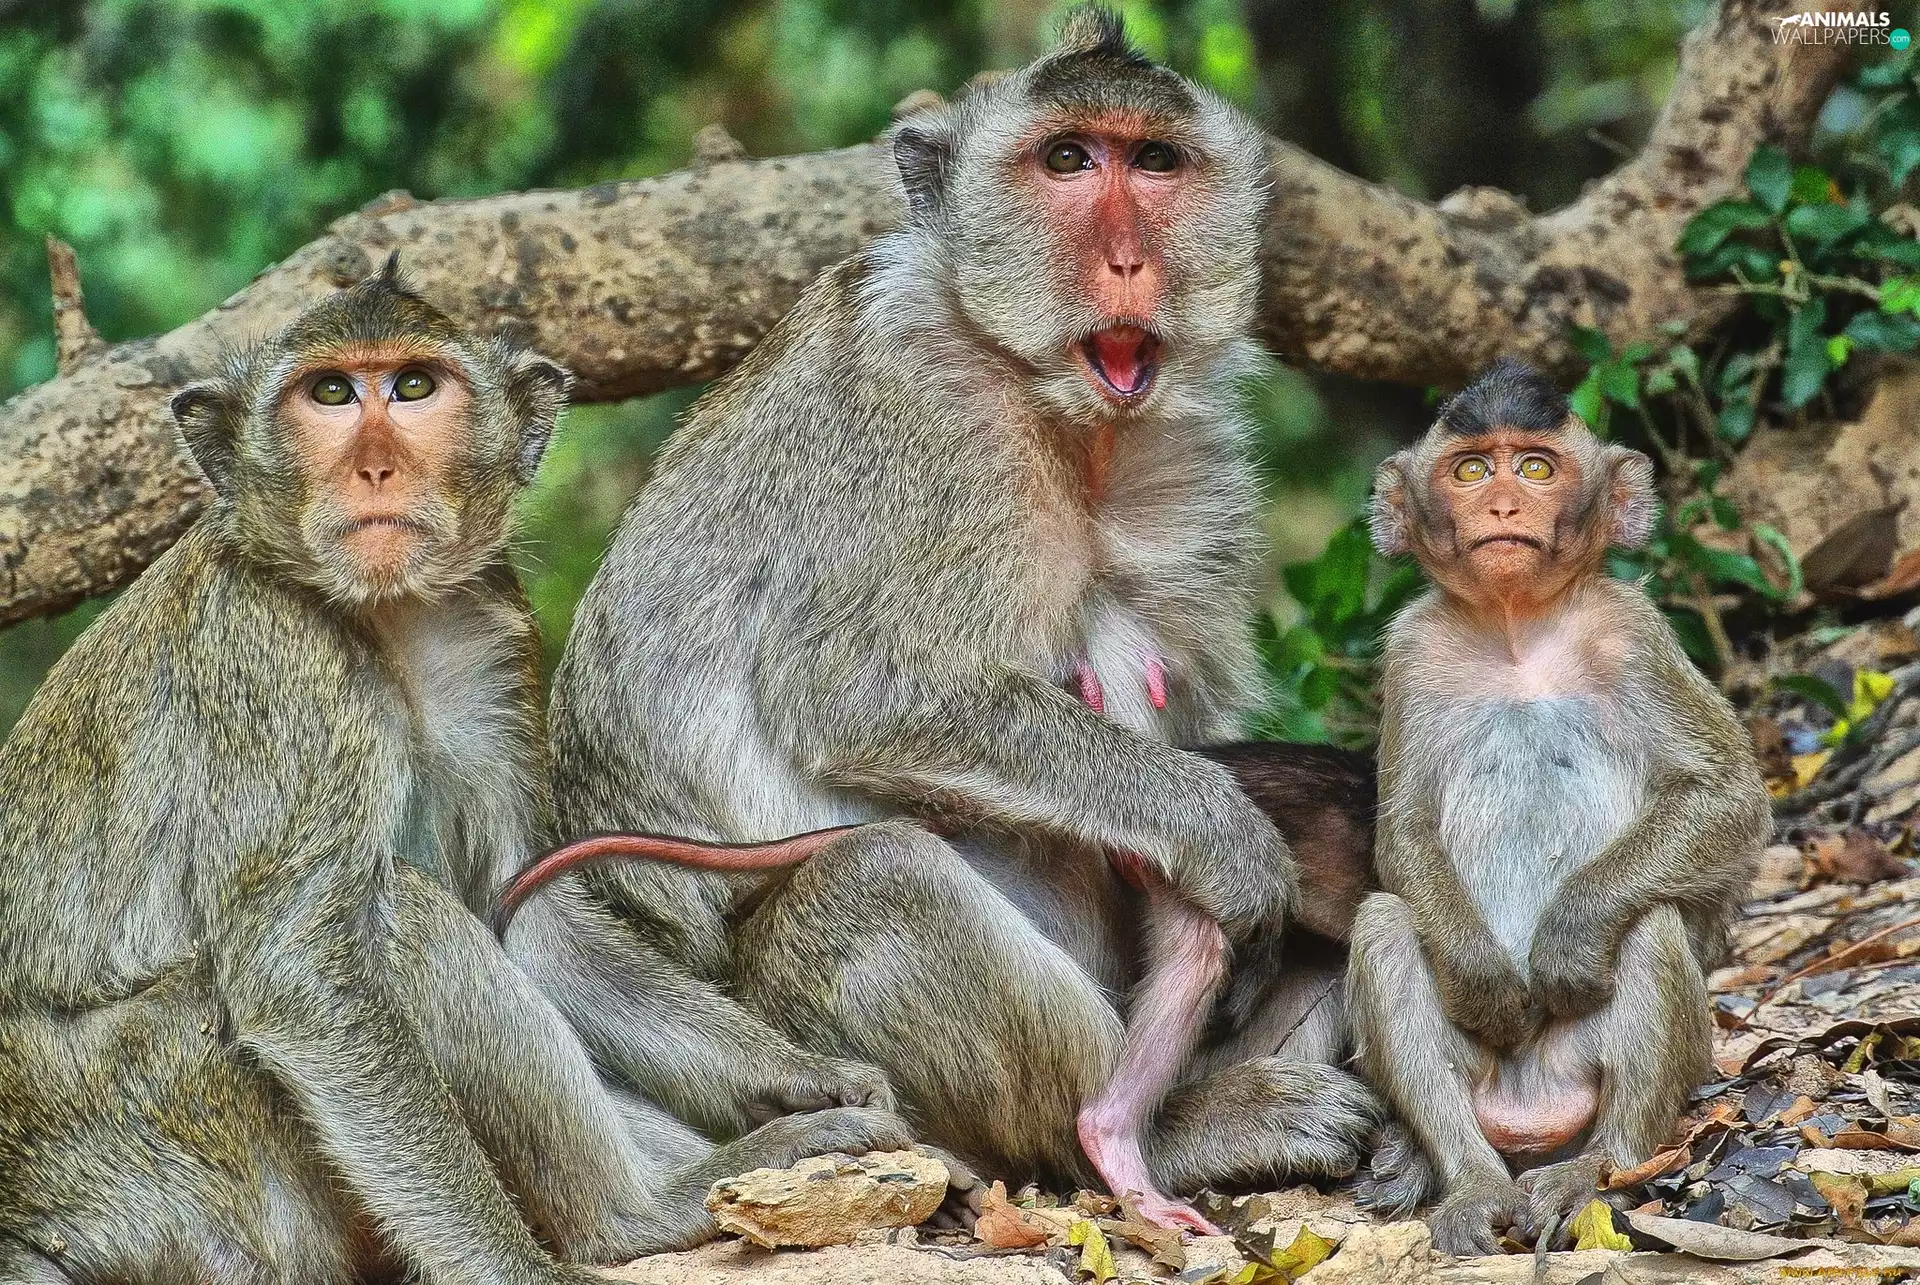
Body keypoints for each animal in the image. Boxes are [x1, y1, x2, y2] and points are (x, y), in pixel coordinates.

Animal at [0, 265, 916, 1285]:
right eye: (329, 393)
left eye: (412, 387)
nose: (375, 467)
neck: (383, 616)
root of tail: (36, 1220)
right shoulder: (277, 659)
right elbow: (300, 981)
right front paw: (519, 1268)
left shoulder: (491, 629)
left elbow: (533, 911)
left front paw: (804, 1074)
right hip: (170, 1142)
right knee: (403, 917)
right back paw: (626, 1219)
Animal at [534, 6, 1381, 1236]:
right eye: (1067, 160)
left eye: (1156, 161)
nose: (1129, 261)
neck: (1060, 414)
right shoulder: (924, 426)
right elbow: (864, 691)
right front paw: (1221, 831)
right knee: (881, 882)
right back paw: (1158, 1132)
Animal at [1345, 358, 1769, 1256]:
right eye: (1472, 469)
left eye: (1537, 468)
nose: (1505, 506)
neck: (1518, 634)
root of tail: (1532, 1112)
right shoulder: (1412, 652)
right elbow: (1403, 830)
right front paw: (1485, 980)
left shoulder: (1635, 633)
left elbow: (1727, 796)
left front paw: (1571, 937)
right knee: (1388, 924)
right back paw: (1469, 1181)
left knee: (1649, 925)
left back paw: (1593, 1169)